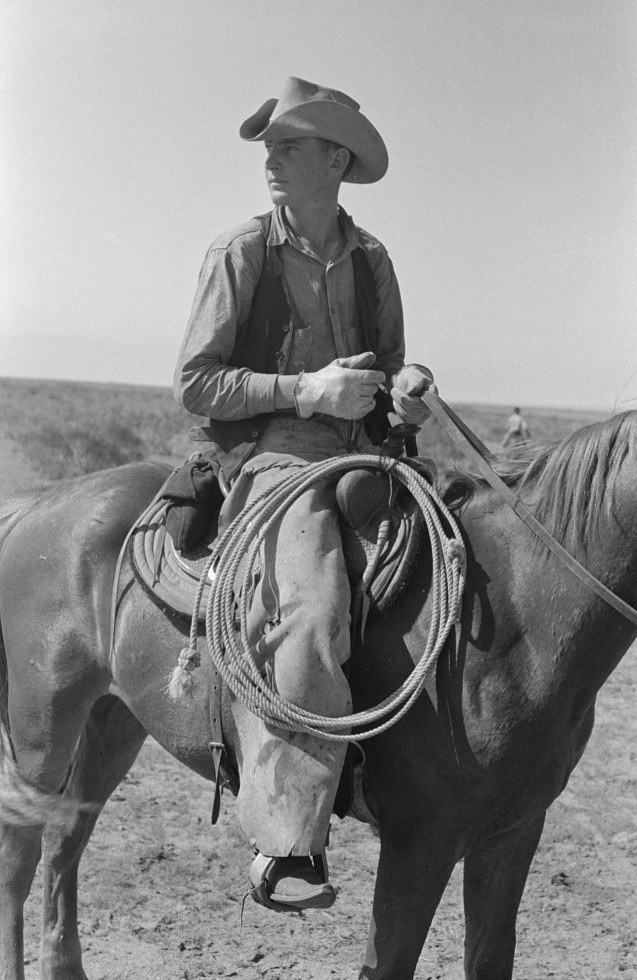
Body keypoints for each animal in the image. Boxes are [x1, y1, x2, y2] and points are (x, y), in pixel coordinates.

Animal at [0, 408, 632, 980]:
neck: (518, 609)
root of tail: (39, 503)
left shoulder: (512, 833)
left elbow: (490, 957)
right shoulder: (420, 840)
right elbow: (389, 964)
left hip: (113, 721)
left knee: (66, 836)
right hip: (43, 723)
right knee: (19, 853)